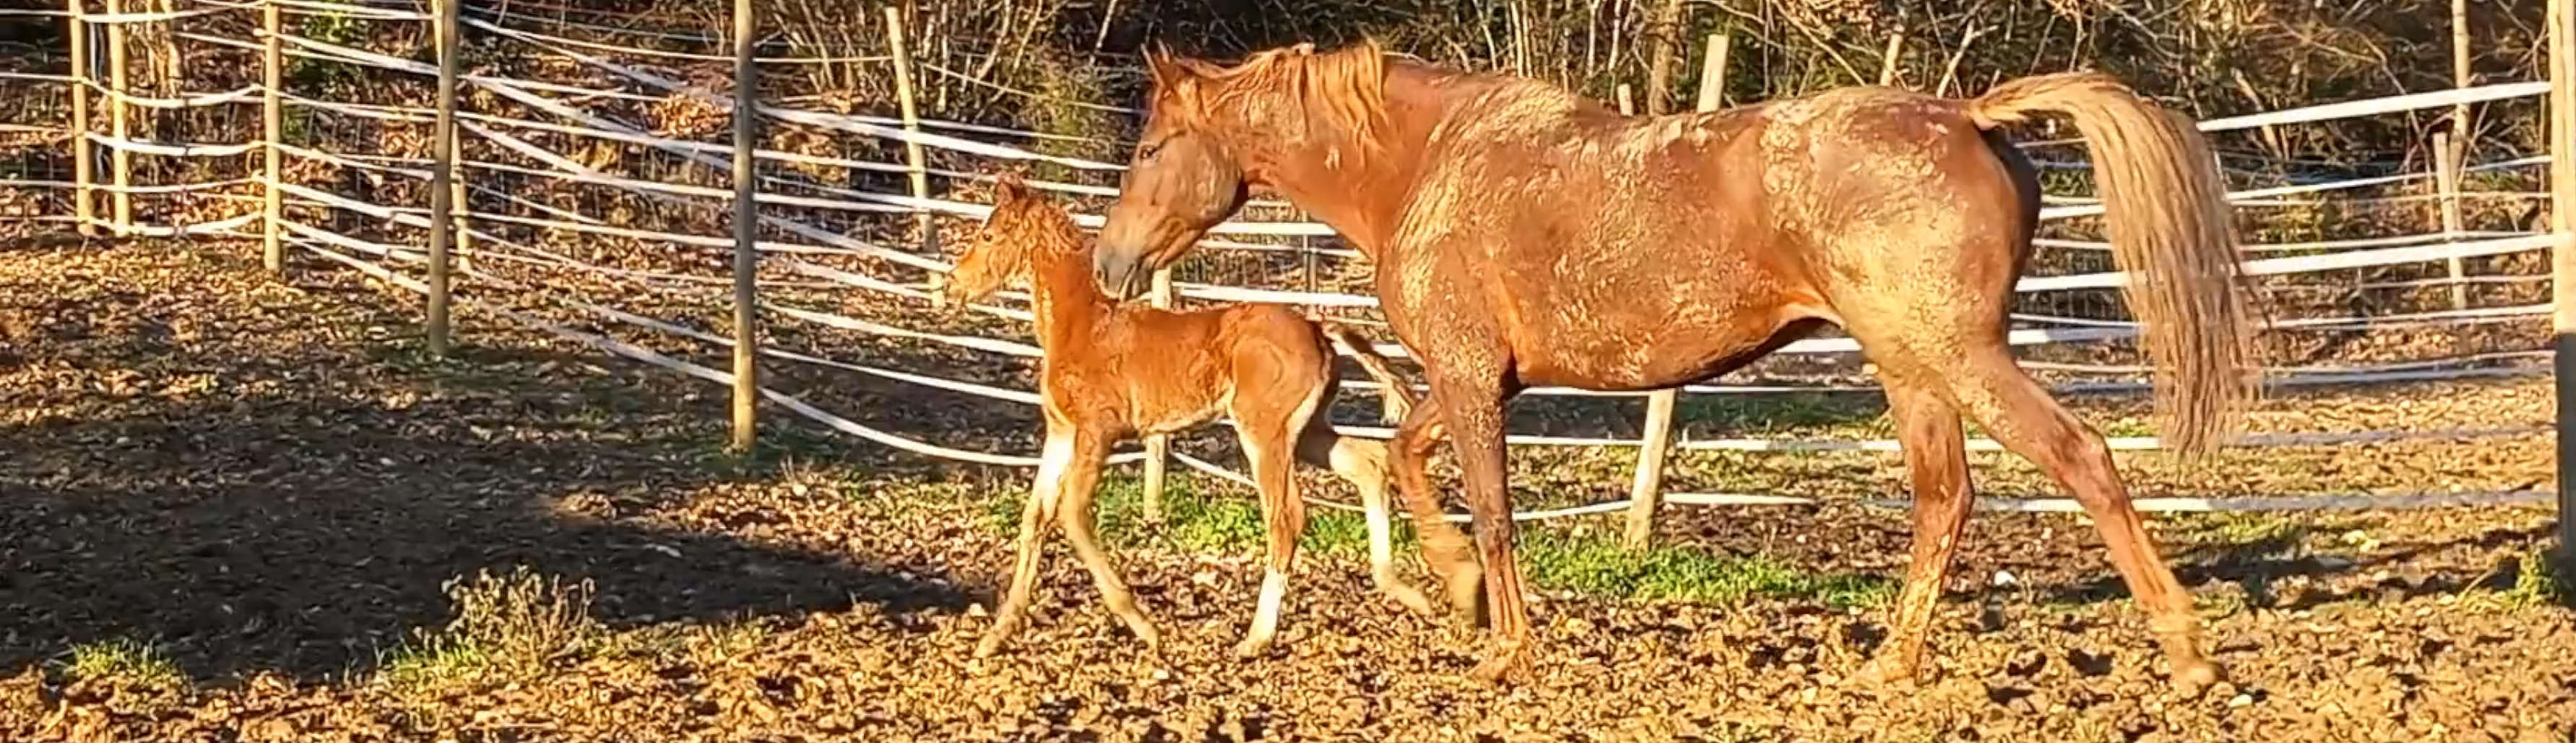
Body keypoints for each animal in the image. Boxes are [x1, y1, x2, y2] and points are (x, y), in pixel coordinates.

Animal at [949, 175, 1487, 658]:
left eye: (989, 236)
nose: (954, 284)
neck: (1083, 325)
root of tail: (1317, 325)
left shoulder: (1098, 431)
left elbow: (1073, 514)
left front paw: (1145, 627)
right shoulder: (1061, 432)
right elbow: (1035, 517)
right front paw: (995, 636)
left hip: (1264, 431)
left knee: (1287, 517)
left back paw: (1256, 639)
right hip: (1309, 429)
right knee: (1369, 465)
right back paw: (1405, 591)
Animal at [1085, 42, 2258, 695]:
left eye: (1147, 150)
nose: (1109, 262)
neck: (1426, 165)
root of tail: (1965, 112)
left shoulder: (1465, 375)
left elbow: (1492, 506)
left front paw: (1503, 646)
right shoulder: (1484, 380)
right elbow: (1412, 462)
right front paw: (1459, 594)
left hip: (1957, 357)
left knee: (2080, 456)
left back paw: (2187, 656)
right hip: (1911, 369)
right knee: (1945, 499)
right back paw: (1887, 666)